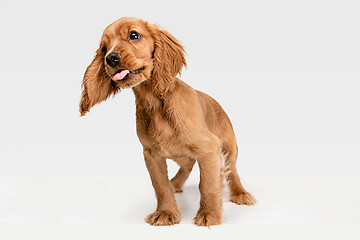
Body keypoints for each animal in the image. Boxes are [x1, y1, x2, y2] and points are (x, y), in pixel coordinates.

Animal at [80, 17, 256, 226]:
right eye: (104, 48)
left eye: (134, 35)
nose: (111, 58)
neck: (155, 103)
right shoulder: (151, 154)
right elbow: (161, 186)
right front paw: (165, 213)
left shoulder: (209, 148)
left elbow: (208, 184)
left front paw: (209, 214)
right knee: (187, 164)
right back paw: (176, 183)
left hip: (229, 145)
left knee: (232, 170)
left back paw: (240, 193)